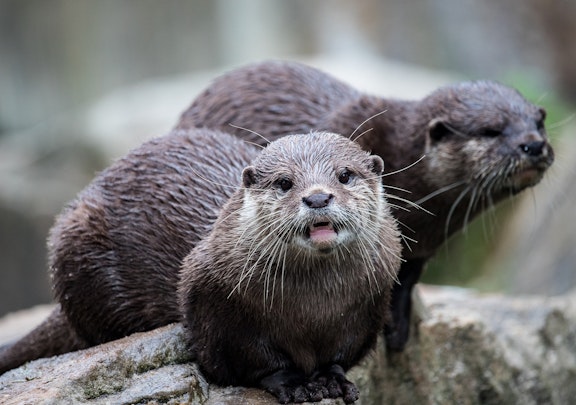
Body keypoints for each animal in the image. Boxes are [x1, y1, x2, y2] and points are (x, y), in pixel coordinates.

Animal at [0, 129, 400, 404]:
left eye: (344, 175)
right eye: (285, 182)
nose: (317, 197)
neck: (314, 309)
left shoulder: (368, 307)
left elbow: (341, 354)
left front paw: (332, 379)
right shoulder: (216, 303)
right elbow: (249, 359)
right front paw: (295, 382)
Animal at [178, 60, 556, 350]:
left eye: (539, 122)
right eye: (492, 130)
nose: (534, 145)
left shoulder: (418, 248)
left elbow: (403, 282)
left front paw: (398, 327)